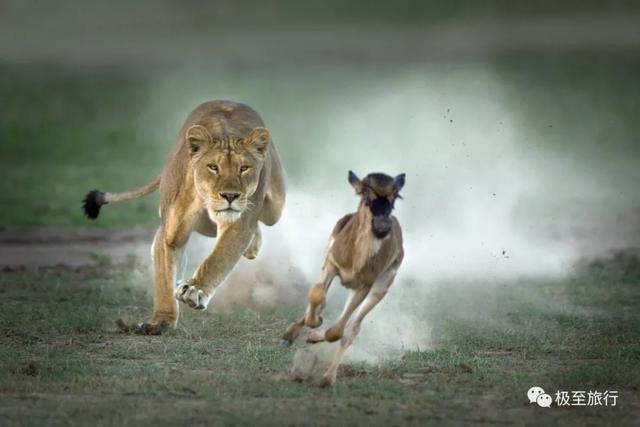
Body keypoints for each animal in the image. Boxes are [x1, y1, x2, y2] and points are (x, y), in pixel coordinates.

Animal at [282, 171, 404, 388]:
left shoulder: (365, 285)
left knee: (351, 329)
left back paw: (327, 376)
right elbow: (316, 295)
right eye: (364, 193)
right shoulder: (331, 263)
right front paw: (310, 325)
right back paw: (291, 335)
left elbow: (338, 331)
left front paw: (316, 339)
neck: (356, 259)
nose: (382, 227)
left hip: (379, 288)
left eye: (395, 196)